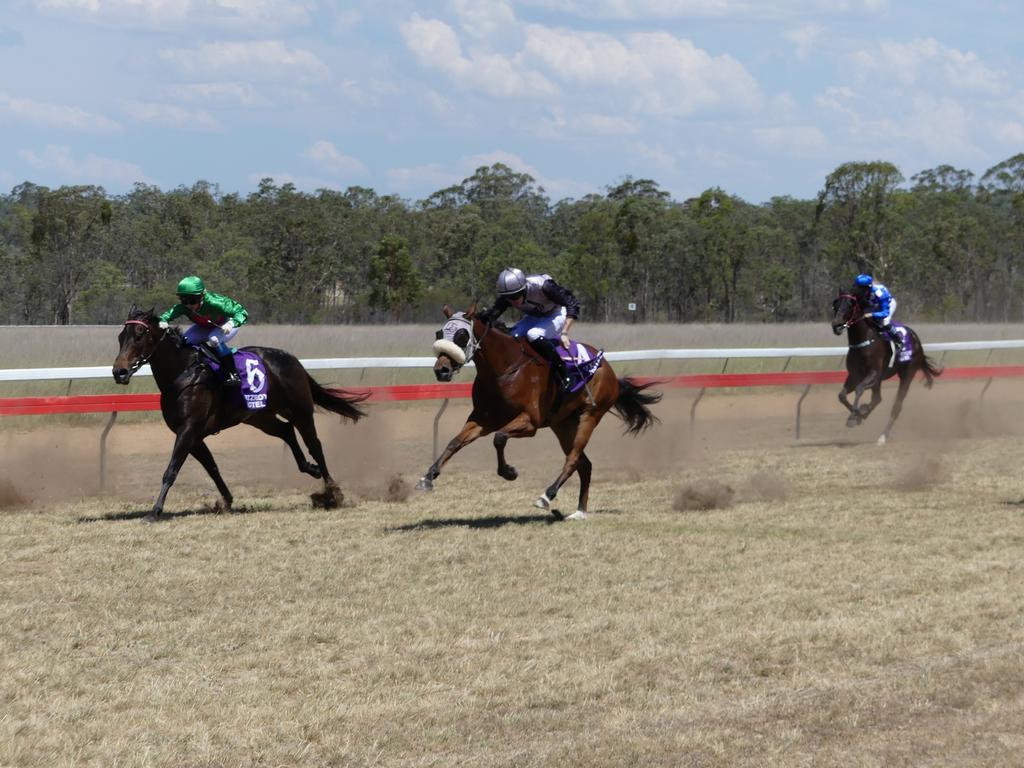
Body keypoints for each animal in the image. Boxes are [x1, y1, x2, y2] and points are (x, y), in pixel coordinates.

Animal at [415, 303, 663, 520]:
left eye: (461, 335)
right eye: (439, 333)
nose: (442, 370)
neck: (504, 368)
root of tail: (609, 371)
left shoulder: (530, 422)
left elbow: (499, 438)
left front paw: (509, 472)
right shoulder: (483, 419)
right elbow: (455, 442)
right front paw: (428, 477)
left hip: (590, 416)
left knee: (573, 459)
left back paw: (547, 496)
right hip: (563, 424)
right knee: (585, 464)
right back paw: (579, 511)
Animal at [827, 288, 937, 444]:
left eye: (849, 305)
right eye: (835, 305)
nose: (836, 325)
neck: (863, 342)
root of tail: (916, 339)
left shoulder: (874, 372)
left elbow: (859, 389)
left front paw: (854, 416)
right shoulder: (855, 375)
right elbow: (842, 395)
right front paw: (858, 414)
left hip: (907, 374)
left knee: (896, 406)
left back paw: (882, 436)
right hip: (880, 380)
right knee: (877, 399)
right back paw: (865, 412)